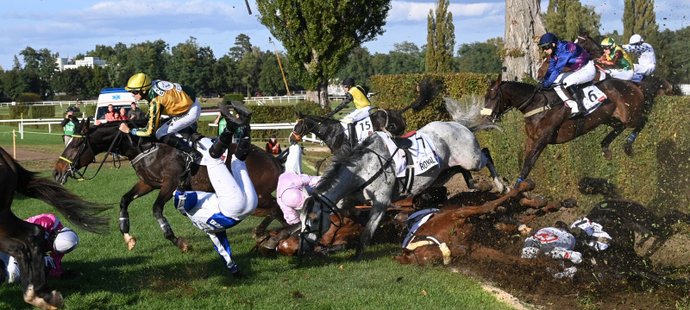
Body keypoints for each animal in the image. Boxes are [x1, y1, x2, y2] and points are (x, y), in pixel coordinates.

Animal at [0, 146, 107, 310]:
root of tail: (6, 157)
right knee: (31, 236)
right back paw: (40, 294)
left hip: (2, 218)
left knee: (22, 244)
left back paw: (37, 294)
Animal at [53, 119, 284, 252]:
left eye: (75, 144)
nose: (57, 171)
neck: (144, 146)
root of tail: (273, 160)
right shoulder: (148, 183)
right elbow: (124, 200)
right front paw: (127, 236)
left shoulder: (170, 183)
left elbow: (156, 209)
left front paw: (178, 241)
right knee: (279, 213)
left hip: (258, 196)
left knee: (276, 209)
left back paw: (262, 233)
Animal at [300, 121, 506, 260]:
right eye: (301, 220)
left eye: (314, 219)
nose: (304, 246)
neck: (363, 169)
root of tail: (460, 125)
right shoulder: (349, 199)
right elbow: (351, 212)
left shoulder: (381, 203)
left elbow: (367, 233)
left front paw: (358, 255)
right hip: (443, 171)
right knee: (462, 170)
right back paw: (476, 185)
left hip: (471, 159)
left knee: (486, 154)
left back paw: (500, 185)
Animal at [478, 72, 644, 184]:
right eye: (485, 97)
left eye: (492, 97)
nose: (486, 120)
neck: (538, 105)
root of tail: (632, 84)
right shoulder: (532, 139)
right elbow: (524, 161)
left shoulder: (543, 139)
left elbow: (528, 164)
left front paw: (515, 188)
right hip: (609, 118)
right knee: (619, 127)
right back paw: (606, 147)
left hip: (630, 115)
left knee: (642, 121)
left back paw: (628, 146)